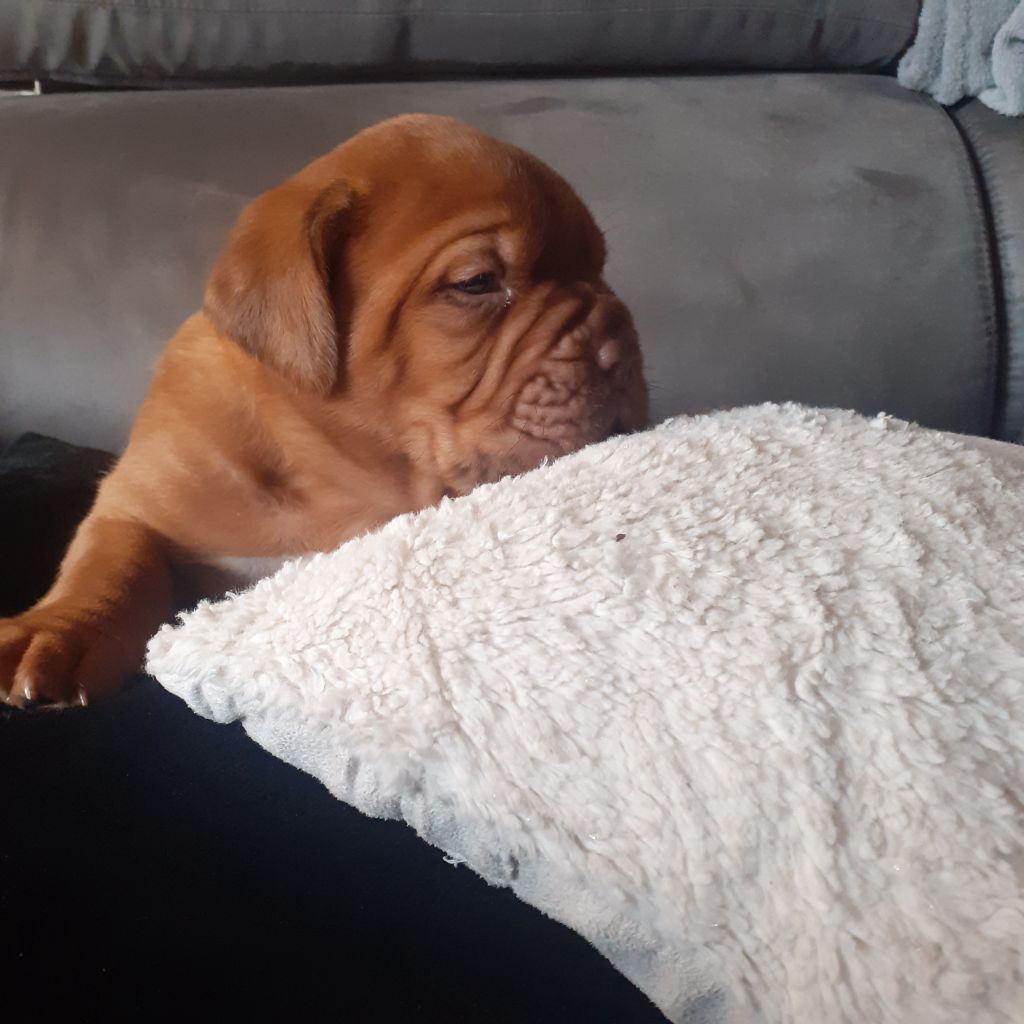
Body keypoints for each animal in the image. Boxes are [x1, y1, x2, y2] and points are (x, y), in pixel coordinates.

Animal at [0, 114, 647, 708]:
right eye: (477, 282)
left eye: (599, 268)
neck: (329, 473)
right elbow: (109, 564)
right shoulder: (135, 504)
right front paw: (52, 634)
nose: (619, 345)